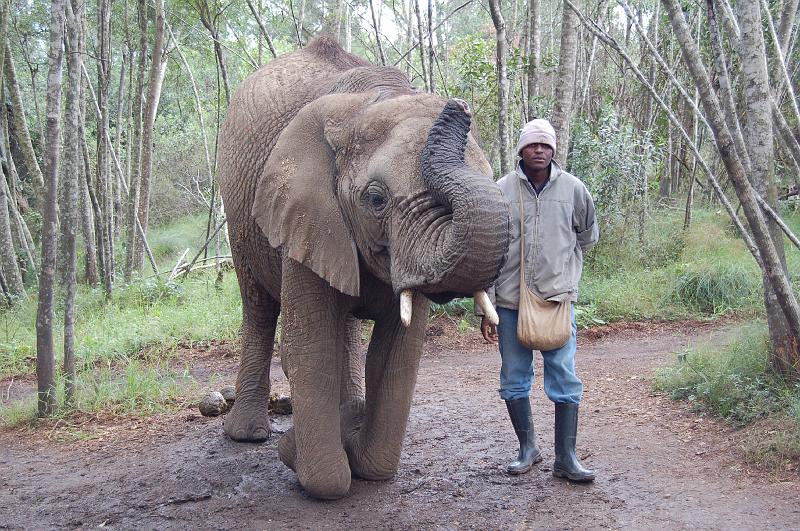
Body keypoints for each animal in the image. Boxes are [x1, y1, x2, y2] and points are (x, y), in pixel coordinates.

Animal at [218, 35, 510, 499]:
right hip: (240, 216)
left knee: (346, 327)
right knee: (259, 308)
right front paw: (302, 452)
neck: (371, 100)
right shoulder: (305, 210)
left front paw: (354, 436)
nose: (459, 107)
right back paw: (248, 435)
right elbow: (312, 347)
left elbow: (397, 355)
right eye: (376, 199)